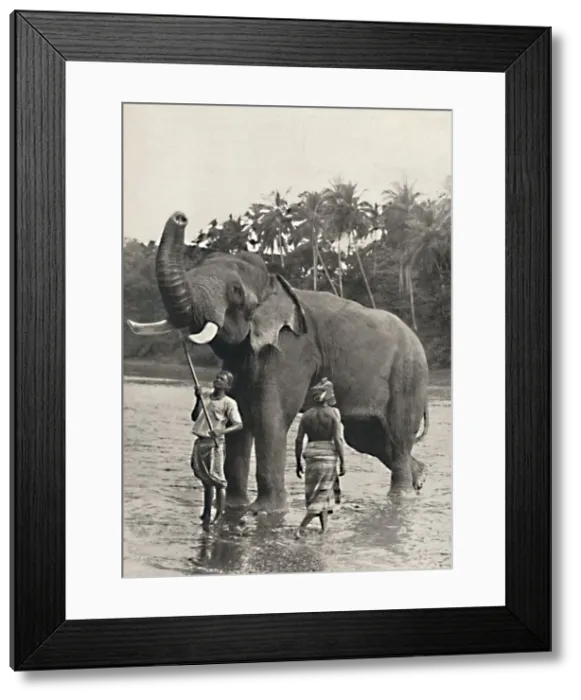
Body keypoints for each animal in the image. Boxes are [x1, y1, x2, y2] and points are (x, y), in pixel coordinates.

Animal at [126, 211, 430, 516]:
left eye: (235, 291)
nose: (180, 217)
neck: (273, 284)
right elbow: (241, 415)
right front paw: (235, 508)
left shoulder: (292, 349)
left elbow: (268, 415)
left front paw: (264, 512)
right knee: (368, 438)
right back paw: (419, 480)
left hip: (408, 377)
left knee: (397, 436)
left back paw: (402, 495)